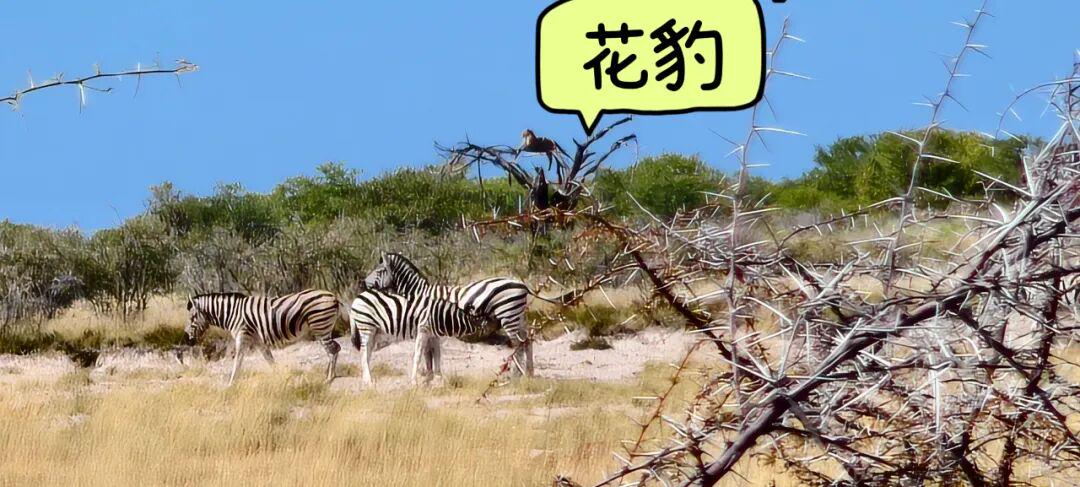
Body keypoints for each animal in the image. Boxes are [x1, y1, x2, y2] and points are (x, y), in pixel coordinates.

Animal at [185, 289, 345, 385]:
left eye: (192, 318)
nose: (187, 339)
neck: (232, 313)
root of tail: (333, 296)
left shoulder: (242, 336)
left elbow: (238, 361)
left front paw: (231, 383)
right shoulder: (258, 340)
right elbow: (269, 359)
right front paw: (279, 377)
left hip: (321, 327)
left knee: (332, 350)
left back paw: (329, 378)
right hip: (323, 328)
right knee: (335, 348)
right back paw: (330, 375)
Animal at [349, 288, 488, 385]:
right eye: (481, 322)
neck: (441, 315)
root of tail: (357, 298)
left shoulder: (433, 335)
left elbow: (436, 355)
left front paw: (438, 378)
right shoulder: (423, 330)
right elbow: (418, 355)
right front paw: (414, 381)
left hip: (374, 331)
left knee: (367, 353)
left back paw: (367, 378)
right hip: (366, 327)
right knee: (363, 352)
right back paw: (368, 381)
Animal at [363, 252, 535, 376]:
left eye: (379, 271)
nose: (363, 283)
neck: (420, 293)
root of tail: (522, 285)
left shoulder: (426, 325)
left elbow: (427, 352)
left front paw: (428, 376)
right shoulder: (431, 328)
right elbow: (430, 353)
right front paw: (430, 375)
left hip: (508, 316)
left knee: (518, 345)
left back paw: (516, 375)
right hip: (519, 317)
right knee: (527, 341)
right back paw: (529, 373)